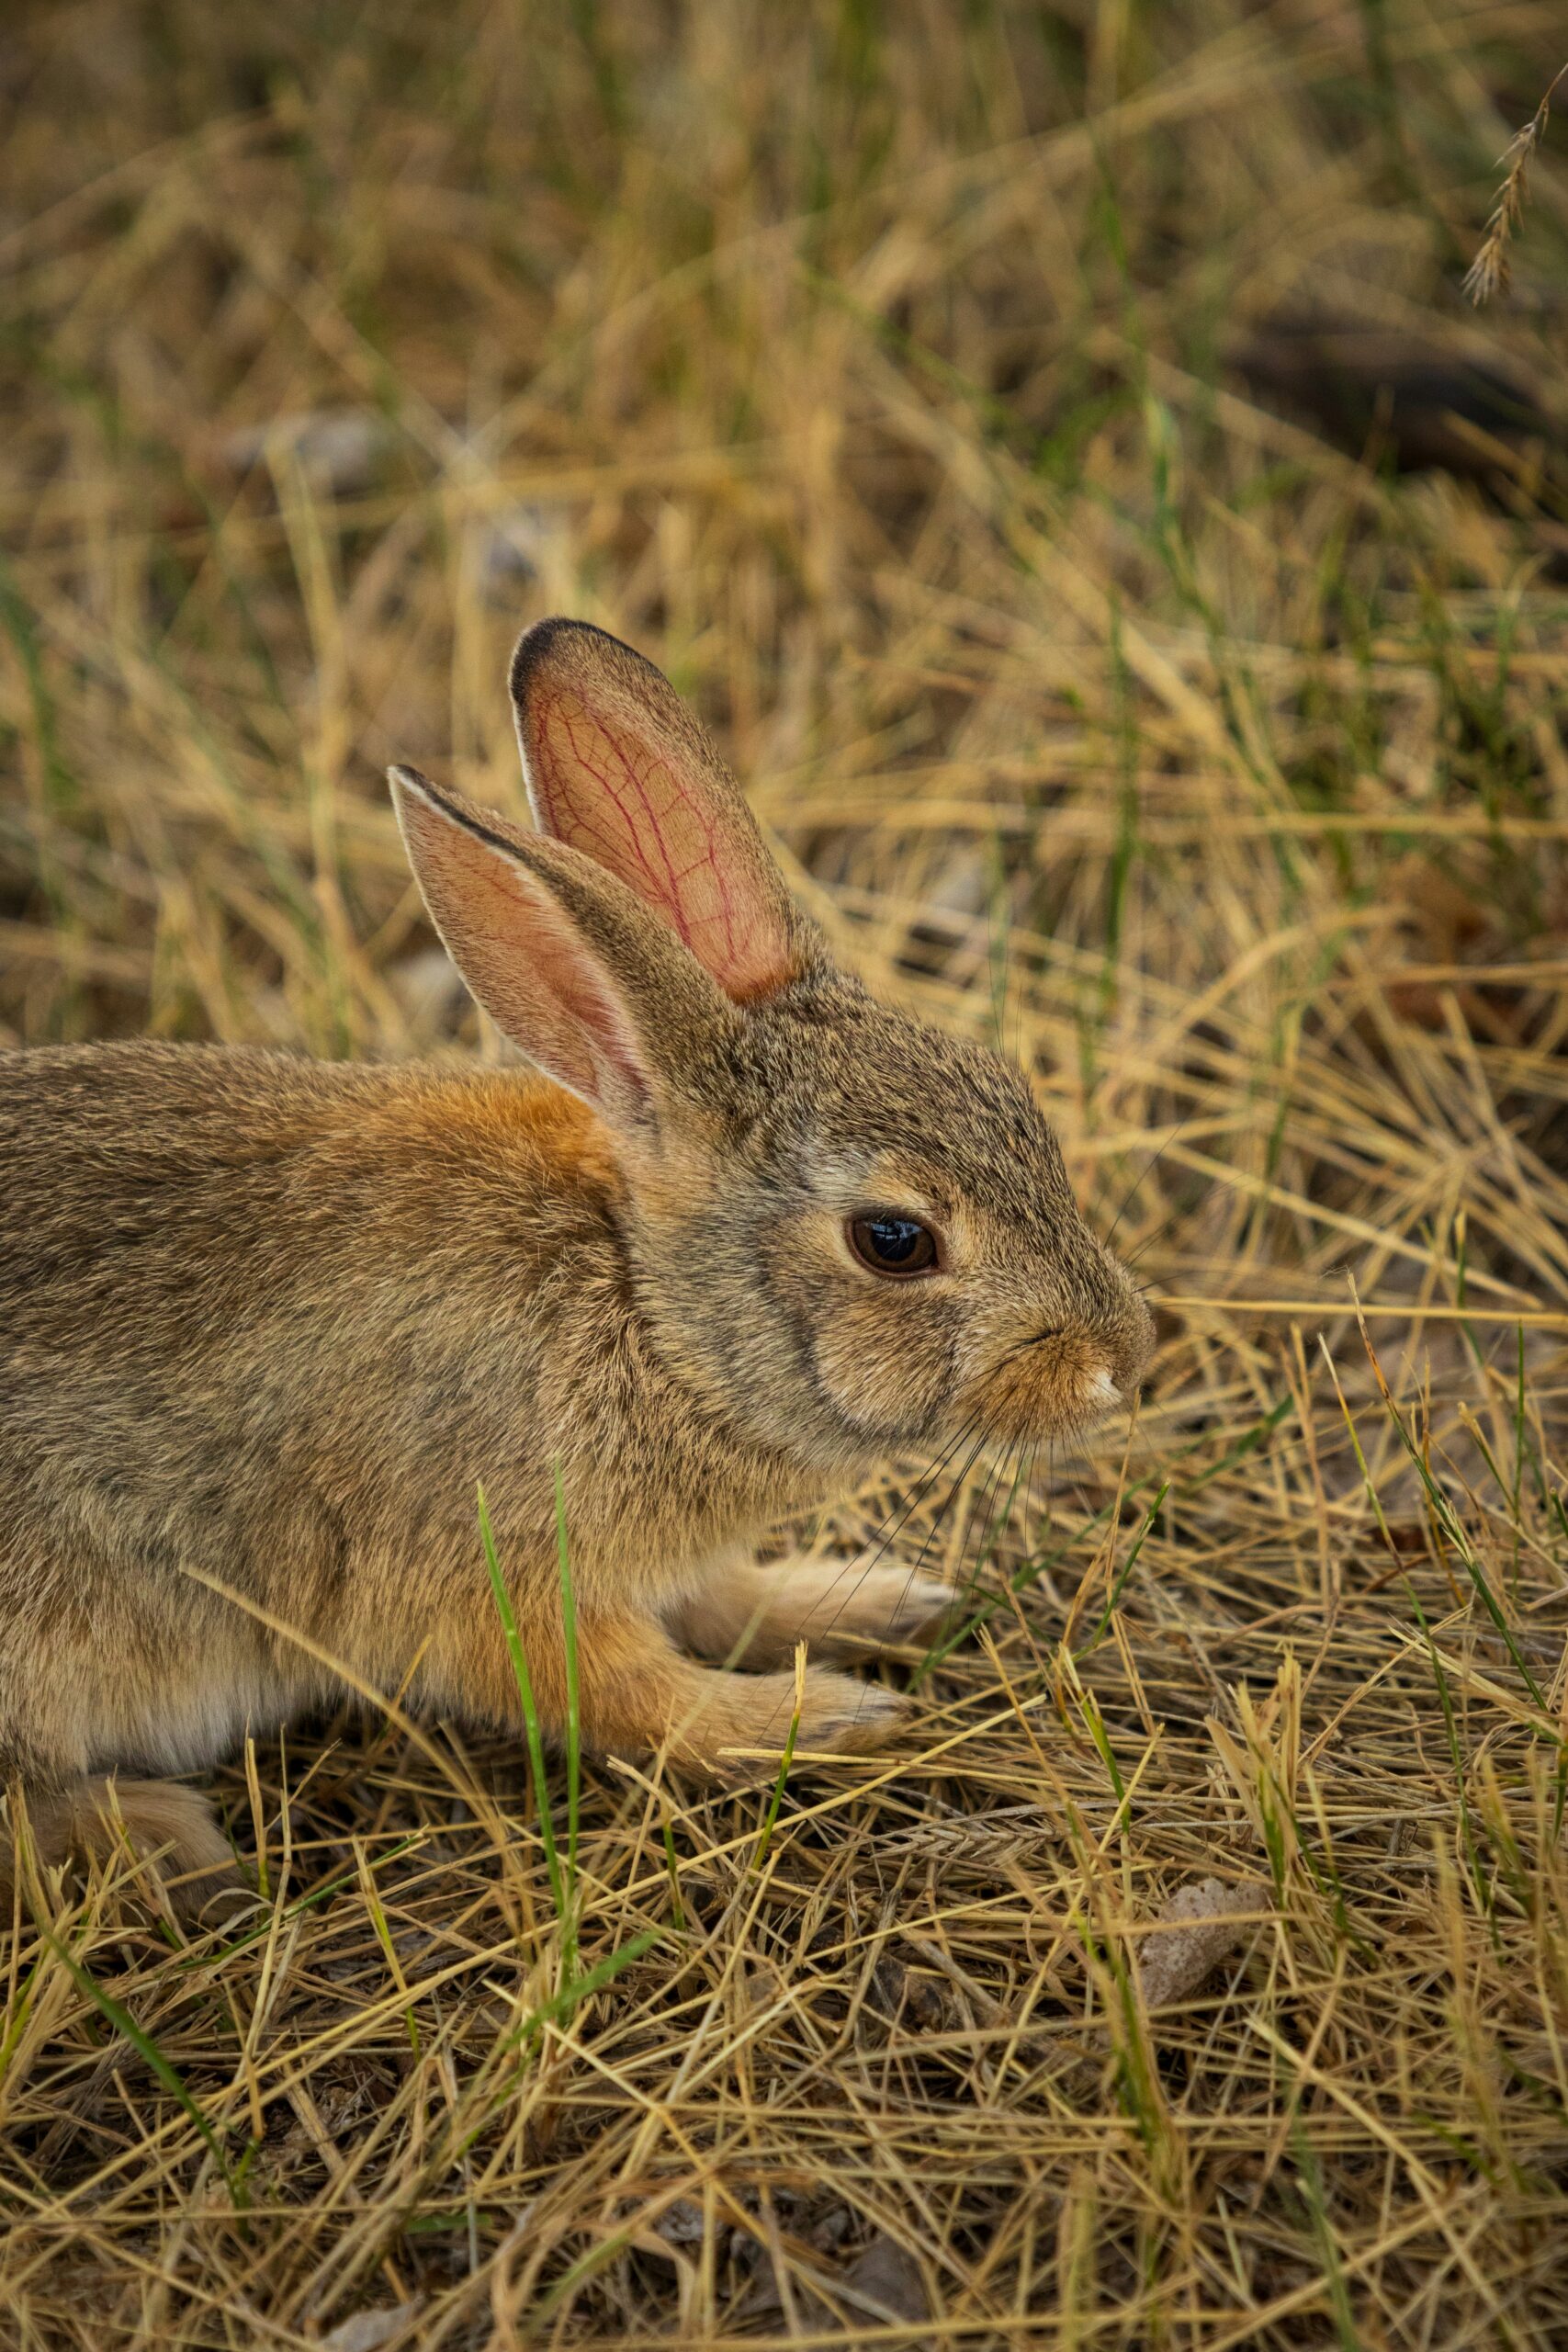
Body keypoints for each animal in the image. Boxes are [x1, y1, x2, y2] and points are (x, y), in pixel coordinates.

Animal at [0, 620, 1152, 1909]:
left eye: (1012, 1091)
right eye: (894, 1242)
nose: (1121, 1361)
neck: (650, 1310)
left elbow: (722, 1597)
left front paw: (870, 1600)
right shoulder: (490, 1577)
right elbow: (629, 1696)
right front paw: (825, 1719)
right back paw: (158, 1839)